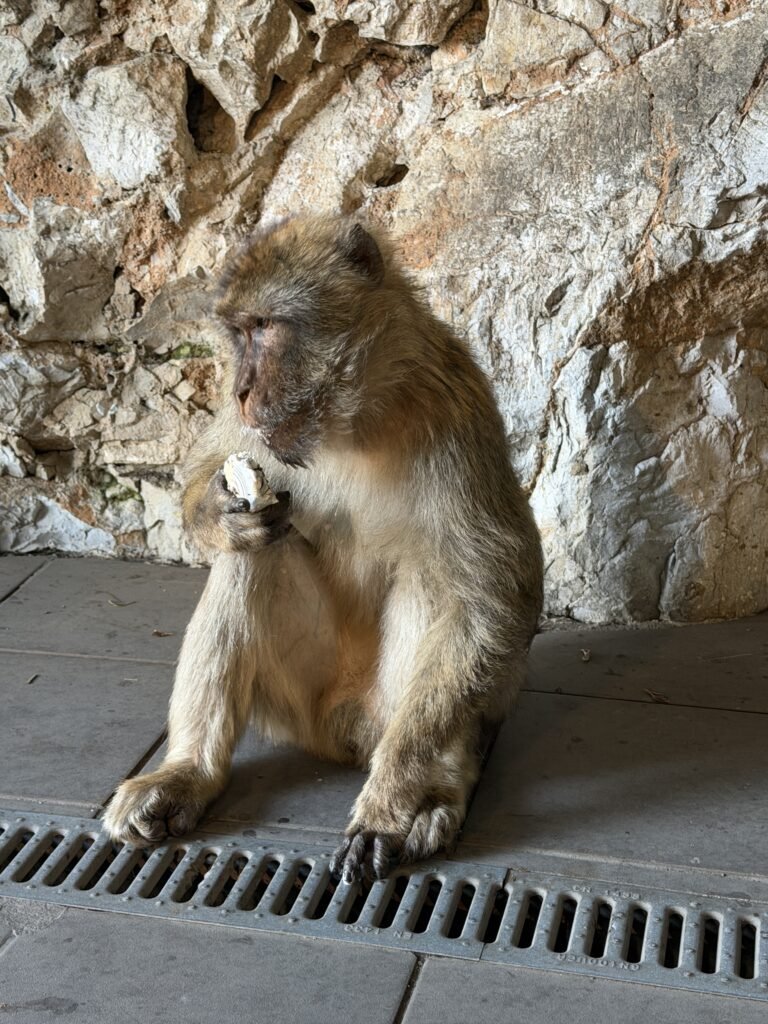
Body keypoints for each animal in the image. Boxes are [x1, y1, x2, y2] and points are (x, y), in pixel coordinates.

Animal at [103, 214, 544, 881]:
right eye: (238, 333)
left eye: (265, 327)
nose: (240, 389)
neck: (355, 421)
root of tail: (345, 726)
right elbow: (205, 476)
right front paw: (221, 510)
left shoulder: (456, 412)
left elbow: (492, 592)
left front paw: (392, 803)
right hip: (298, 705)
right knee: (255, 557)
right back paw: (189, 773)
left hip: (387, 710)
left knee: (435, 583)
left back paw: (435, 787)